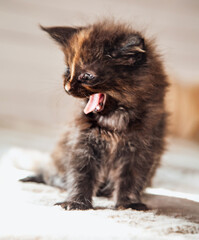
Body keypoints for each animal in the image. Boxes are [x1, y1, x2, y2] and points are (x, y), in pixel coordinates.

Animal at [21, 21, 168, 211]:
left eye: (87, 76)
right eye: (68, 70)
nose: (67, 87)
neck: (114, 120)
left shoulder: (142, 148)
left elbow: (132, 177)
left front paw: (128, 204)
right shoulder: (82, 142)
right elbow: (81, 174)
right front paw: (76, 202)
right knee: (50, 174)